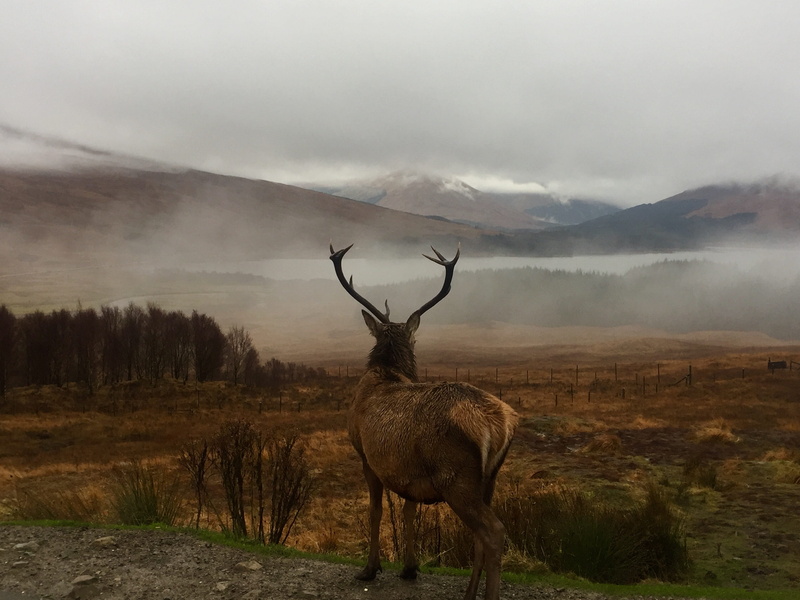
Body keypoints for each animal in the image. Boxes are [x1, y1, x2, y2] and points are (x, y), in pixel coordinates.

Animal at [329, 242, 519, 600]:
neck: (386, 373)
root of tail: (500, 425)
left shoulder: (365, 455)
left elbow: (375, 512)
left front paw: (370, 568)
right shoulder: (409, 472)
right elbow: (409, 511)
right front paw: (409, 568)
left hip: (455, 476)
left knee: (495, 531)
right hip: (489, 478)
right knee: (481, 535)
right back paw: (469, 594)